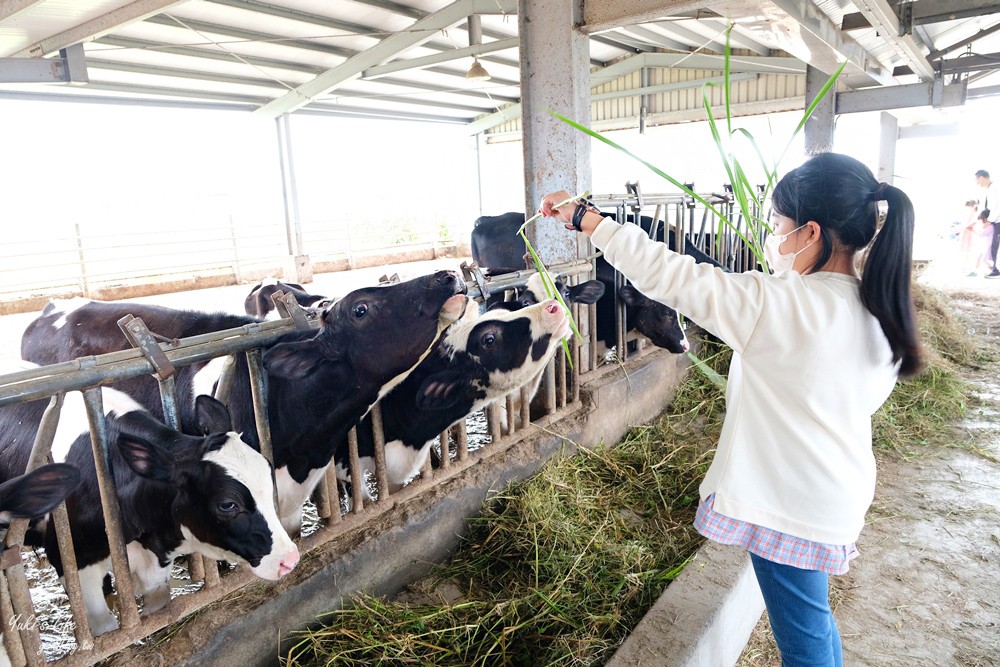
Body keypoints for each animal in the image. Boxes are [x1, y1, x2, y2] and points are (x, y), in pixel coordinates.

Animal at [0, 392, 296, 636]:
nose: (289, 559)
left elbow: (156, 612)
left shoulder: (155, 567)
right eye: (227, 504)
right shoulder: (73, 563)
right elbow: (105, 628)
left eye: (269, 479)